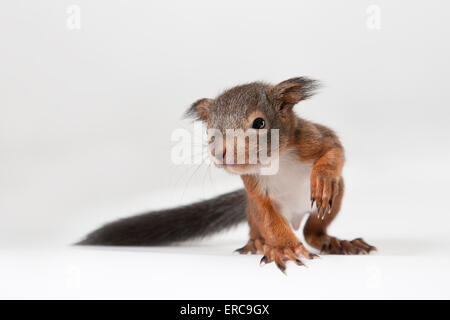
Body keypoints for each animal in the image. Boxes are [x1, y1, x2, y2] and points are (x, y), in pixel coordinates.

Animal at [78, 77, 376, 272]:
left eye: (259, 123)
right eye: (210, 130)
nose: (221, 153)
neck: (277, 161)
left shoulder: (314, 139)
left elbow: (335, 150)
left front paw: (323, 179)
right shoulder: (255, 189)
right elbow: (270, 217)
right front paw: (286, 249)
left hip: (335, 199)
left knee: (313, 230)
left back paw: (335, 241)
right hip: (252, 211)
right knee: (263, 226)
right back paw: (260, 244)